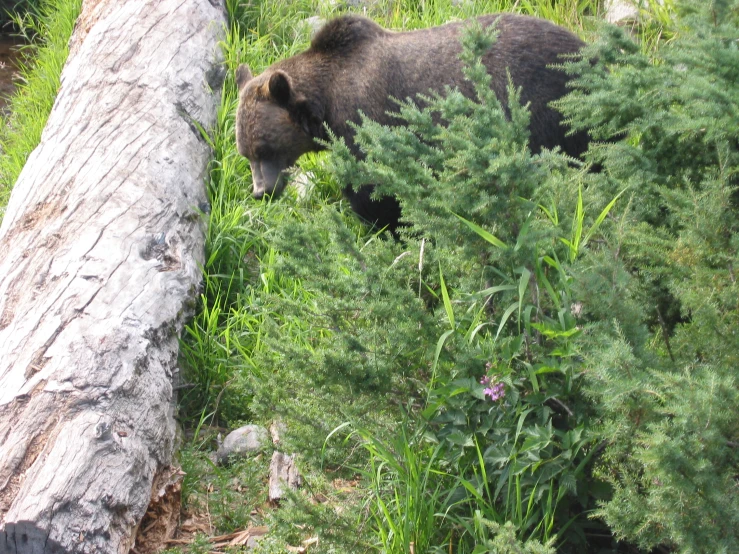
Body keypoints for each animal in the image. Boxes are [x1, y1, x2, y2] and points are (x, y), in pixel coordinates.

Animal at [237, 14, 588, 231]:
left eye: (264, 147)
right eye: (245, 153)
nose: (261, 191)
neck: (326, 102)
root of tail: (584, 47)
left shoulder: (365, 121)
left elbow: (373, 191)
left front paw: (389, 225)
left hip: (545, 106)